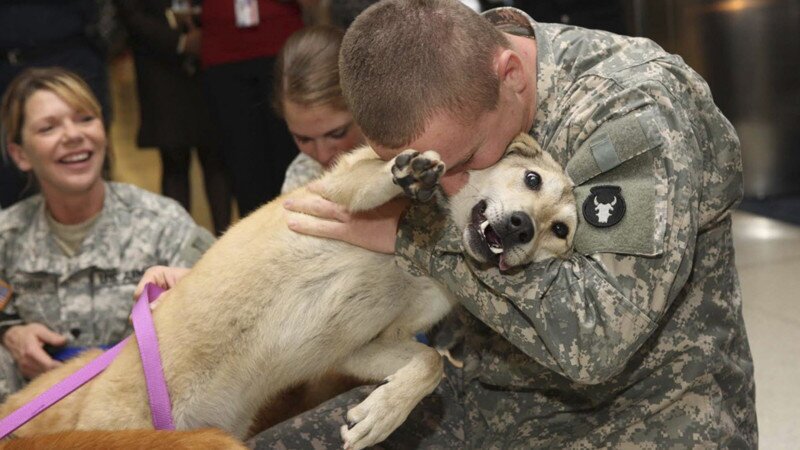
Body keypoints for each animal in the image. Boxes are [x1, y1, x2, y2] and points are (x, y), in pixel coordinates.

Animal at [0, 134, 576, 450]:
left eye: (561, 231)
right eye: (530, 179)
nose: (522, 228)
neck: (426, 256)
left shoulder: (360, 348)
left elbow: (428, 363)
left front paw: (380, 415)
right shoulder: (333, 193)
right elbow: (372, 179)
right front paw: (408, 175)